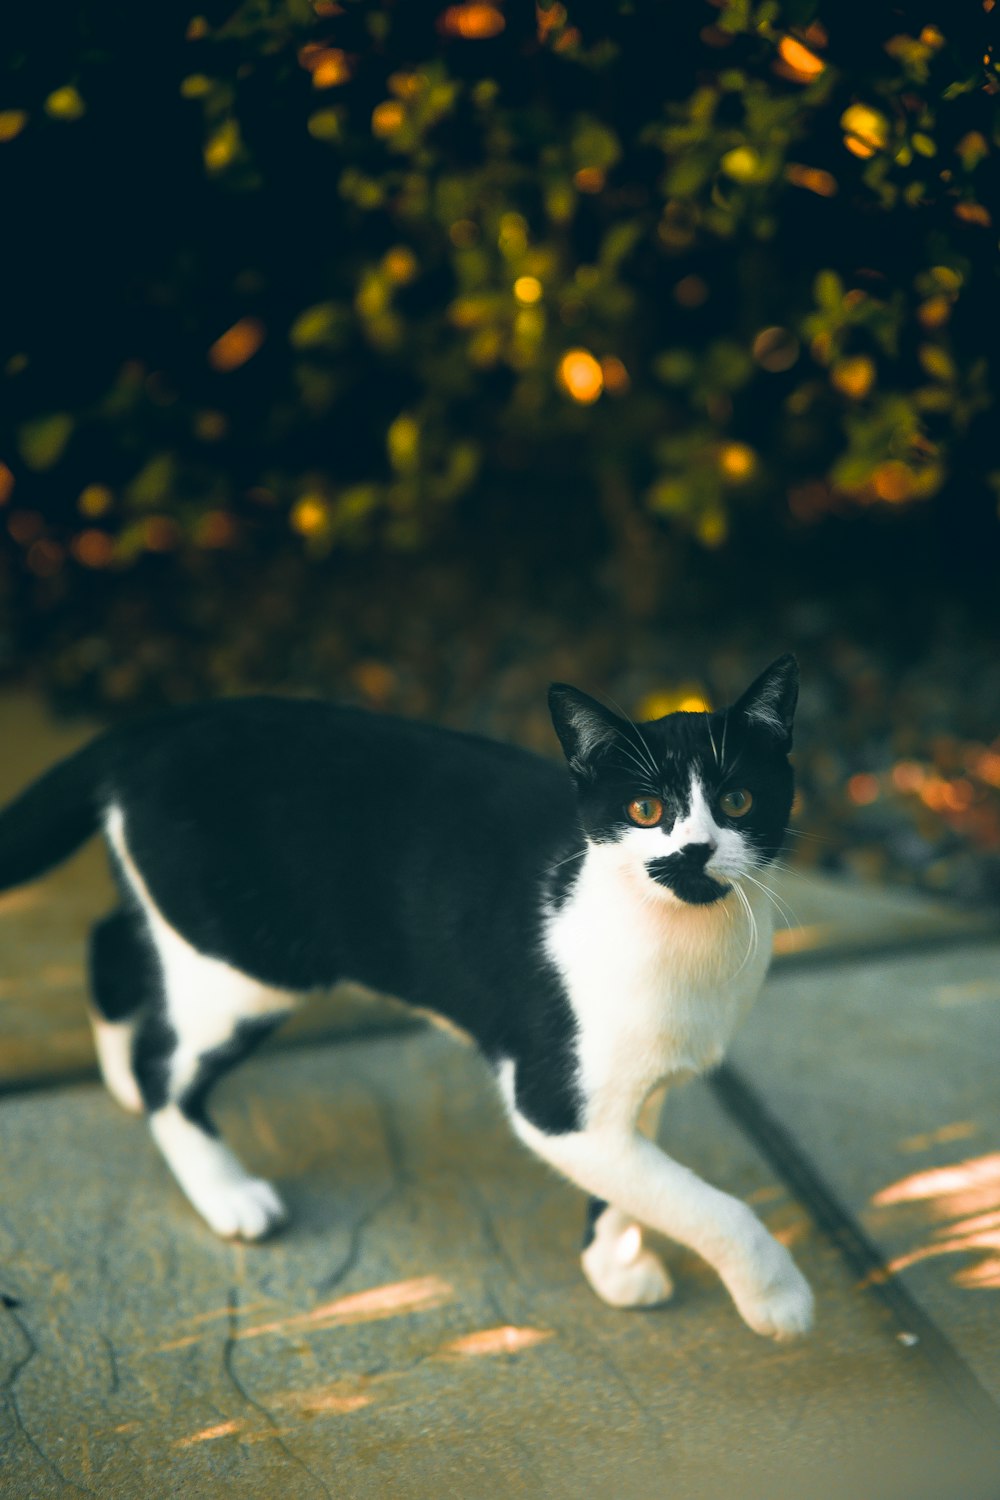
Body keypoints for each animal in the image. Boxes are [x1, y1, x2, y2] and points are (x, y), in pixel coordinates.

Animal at [0, 654, 815, 1338]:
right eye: (646, 811)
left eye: (739, 800)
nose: (697, 851)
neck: (682, 943)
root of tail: (151, 727)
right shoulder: (555, 1103)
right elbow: (710, 1205)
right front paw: (779, 1298)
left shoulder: (630, 1092)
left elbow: (642, 1183)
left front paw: (615, 1265)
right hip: (244, 970)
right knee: (167, 1068)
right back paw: (223, 1189)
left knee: (113, 941)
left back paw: (118, 1075)